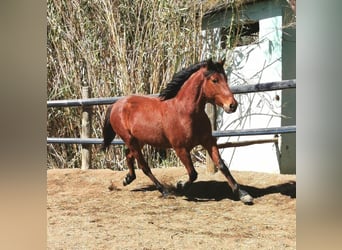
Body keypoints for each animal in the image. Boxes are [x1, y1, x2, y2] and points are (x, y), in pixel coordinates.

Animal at [101, 58, 254, 205]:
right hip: (130, 139)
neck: (186, 112)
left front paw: (243, 195)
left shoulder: (208, 141)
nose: (232, 105)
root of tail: (116, 104)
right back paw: (164, 190)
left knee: (128, 155)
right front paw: (180, 186)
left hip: (140, 140)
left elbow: (222, 165)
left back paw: (128, 179)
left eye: (226, 79)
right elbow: (193, 173)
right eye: (214, 80)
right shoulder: (180, 148)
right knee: (144, 165)